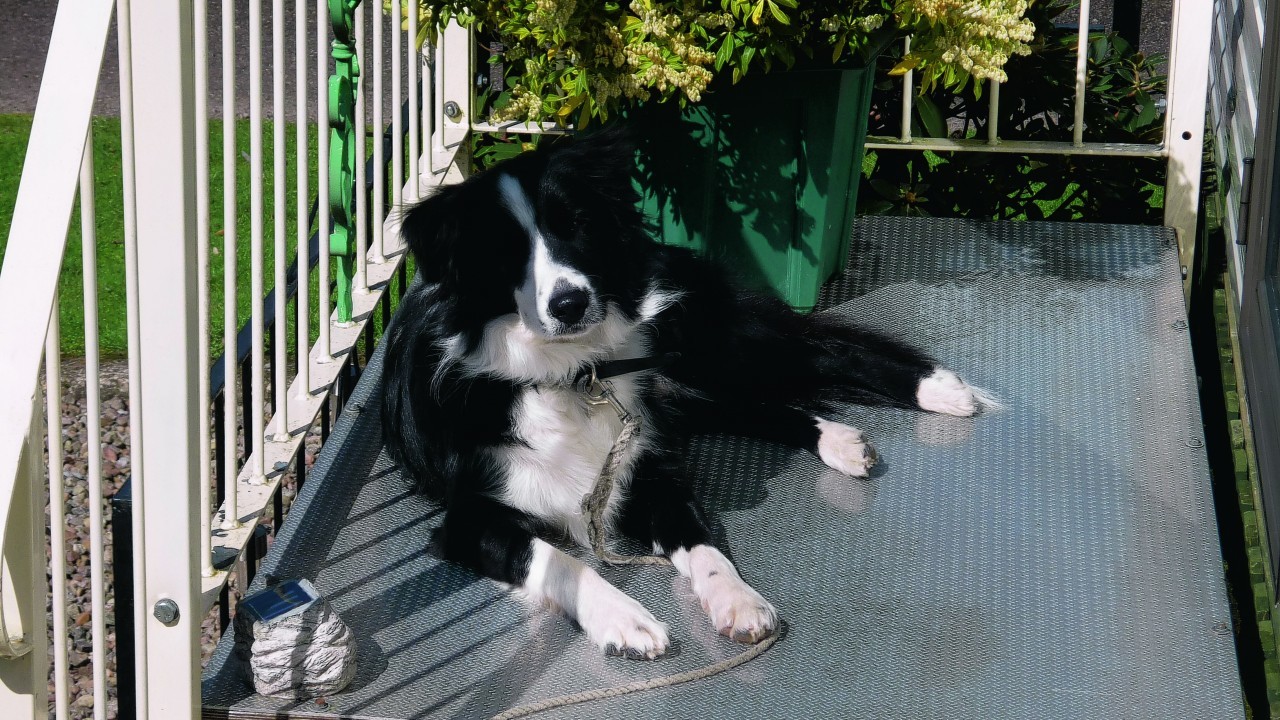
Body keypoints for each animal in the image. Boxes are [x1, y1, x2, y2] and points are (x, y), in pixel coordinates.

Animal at [378, 127, 988, 655]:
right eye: (504, 251)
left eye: (577, 224)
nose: (569, 304)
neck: (572, 374)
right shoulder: (467, 521)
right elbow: (558, 559)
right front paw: (623, 617)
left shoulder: (646, 469)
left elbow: (702, 543)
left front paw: (738, 599)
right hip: (677, 387)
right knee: (758, 408)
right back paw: (841, 441)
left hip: (702, 346)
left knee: (826, 354)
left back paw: (939, 390)